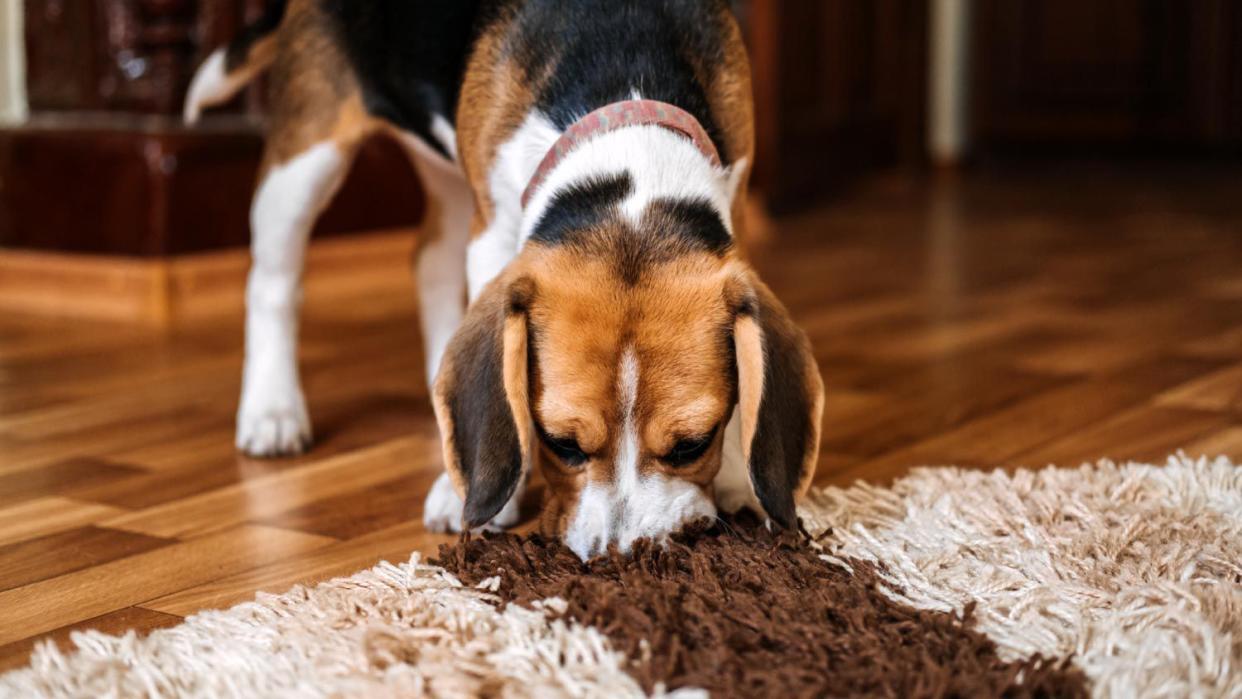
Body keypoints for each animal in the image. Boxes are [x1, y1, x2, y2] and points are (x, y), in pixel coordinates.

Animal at [186, 0, 824, 558]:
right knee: (272, 282)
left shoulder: (735, 201)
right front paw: (478, 494)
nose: (618, 558)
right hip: (306, 154)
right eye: (561, 444)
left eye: (692, 445)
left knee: (428, 259)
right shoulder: (493, 234)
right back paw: (272, 411)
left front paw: (742, 477)